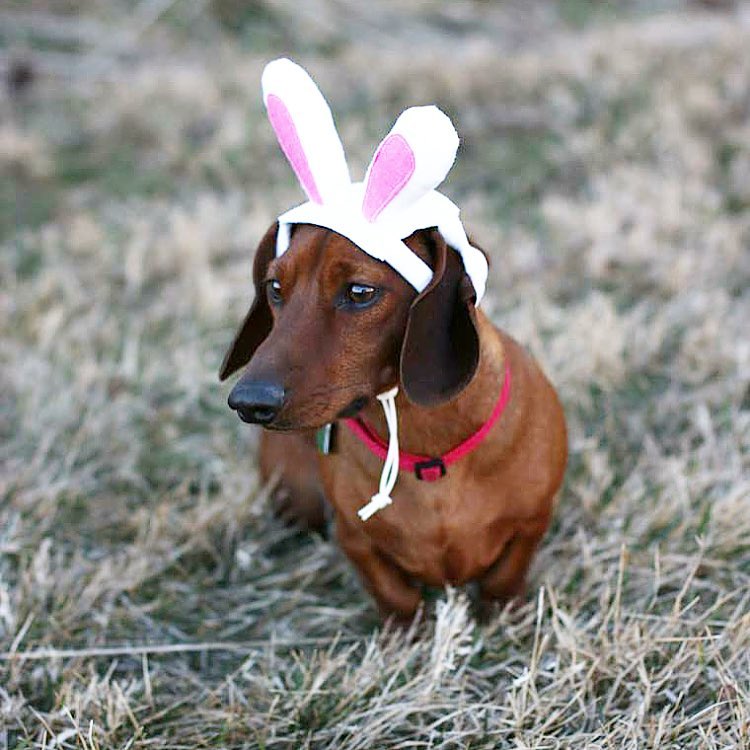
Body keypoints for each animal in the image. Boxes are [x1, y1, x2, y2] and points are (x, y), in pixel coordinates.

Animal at [220, 222, 568, 624]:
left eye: (360, 292)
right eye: (275, 287)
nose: (248, 402)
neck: (427, 445)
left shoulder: (533, 520)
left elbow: (506, 575)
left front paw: (500, 613)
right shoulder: (354, 539)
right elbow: (393, 594)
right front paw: (404, 630)